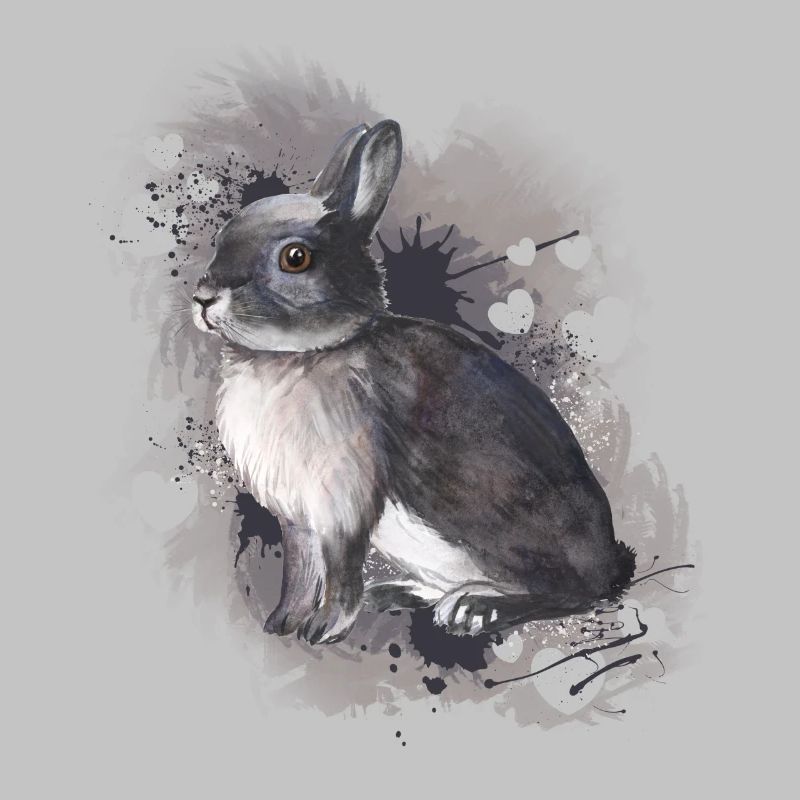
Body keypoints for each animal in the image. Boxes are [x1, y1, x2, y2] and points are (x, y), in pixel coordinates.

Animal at [192, 120, 636, 645]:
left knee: (571, 595)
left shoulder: (344, 502)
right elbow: (299, 572)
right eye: (221, 237)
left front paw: (323, 629)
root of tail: (610, 562)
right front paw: (281, 623)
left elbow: (339, 571)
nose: (202, 298)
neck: (300, 355)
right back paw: (399, 593)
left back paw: (476, 609)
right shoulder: (298, 518)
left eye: (295, 258)